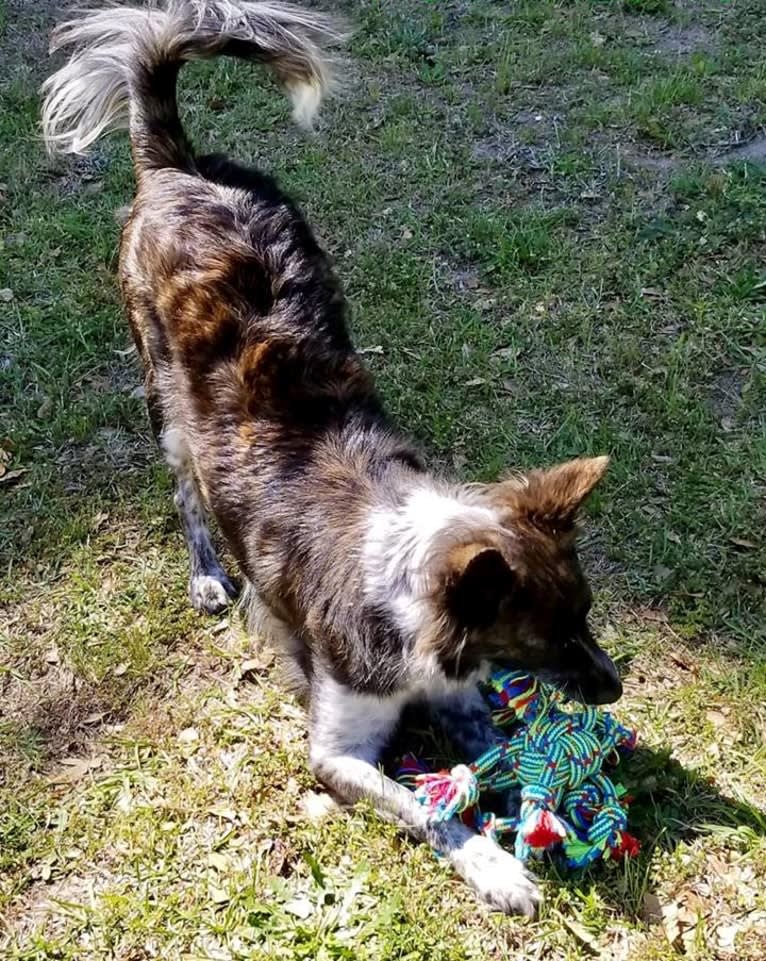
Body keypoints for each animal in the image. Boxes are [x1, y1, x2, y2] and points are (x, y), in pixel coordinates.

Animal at [42, 0, 624, 916]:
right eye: (544, 636)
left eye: (589, 614)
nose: (617, 689)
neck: (406, 580)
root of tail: (178, 167)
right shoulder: (337, 750)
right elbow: (429, 811)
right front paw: (495, 864)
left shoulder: (453, 690)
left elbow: (492, 752)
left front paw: (536, 797)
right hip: (164, 402)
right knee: (184, 491)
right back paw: (207, 573)